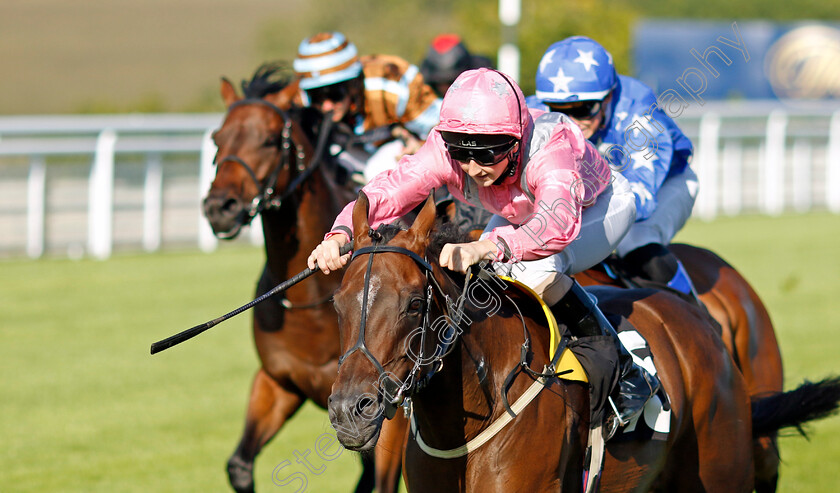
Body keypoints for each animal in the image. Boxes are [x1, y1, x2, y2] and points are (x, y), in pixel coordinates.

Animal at [200, 63, 404, 490]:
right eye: (217, 138)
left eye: (268, 140)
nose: (220, 207)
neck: (312, 298)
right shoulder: (279, 381)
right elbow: (239, 465)